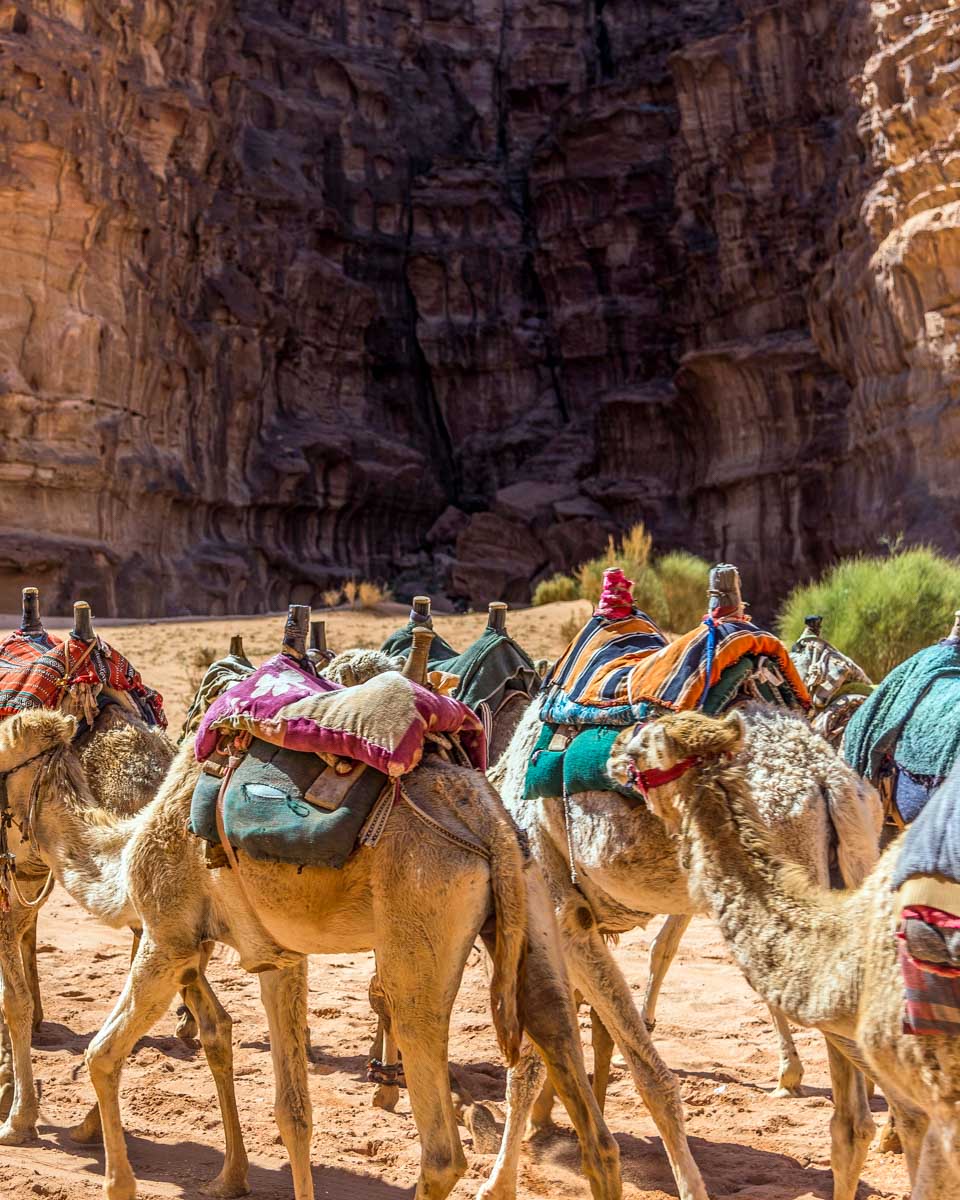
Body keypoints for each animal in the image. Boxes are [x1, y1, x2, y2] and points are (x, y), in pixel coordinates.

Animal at [0, 706, 622, 1200]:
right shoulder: (278, 959)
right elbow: (292, 1111)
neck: (127, 850)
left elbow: (101, 1055)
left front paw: (117, 1182)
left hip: (419, 936)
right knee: (592, 1125)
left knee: (443, 1151)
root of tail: (488, 823)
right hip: (535, 903)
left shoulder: (167, 937)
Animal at [477, 696, 881, 1200]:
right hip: (849, 869)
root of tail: (828, 785)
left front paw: (497, 1183)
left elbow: (602, 1070)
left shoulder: (559, 911)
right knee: (852, 1119)